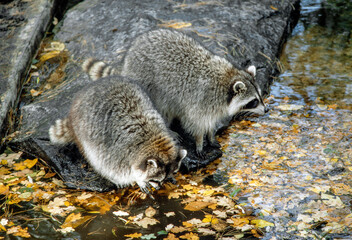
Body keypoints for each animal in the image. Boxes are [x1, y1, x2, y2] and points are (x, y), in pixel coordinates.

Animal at [49, 76, 188, 192]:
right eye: (155, 180)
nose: (160, 187)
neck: (152, 139)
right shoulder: (117, 153)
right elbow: (116, 171)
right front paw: (138, 180)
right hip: (83, 131)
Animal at [84, 28, 268, 156]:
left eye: (260, 96)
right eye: (254, 101)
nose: (266, 110)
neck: (228, 79)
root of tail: (128, 58)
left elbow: (210, 122)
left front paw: (211, 136)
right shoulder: (201, 100)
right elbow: (196, 123)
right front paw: (200, 141)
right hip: (149, 85)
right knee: (162, 108)